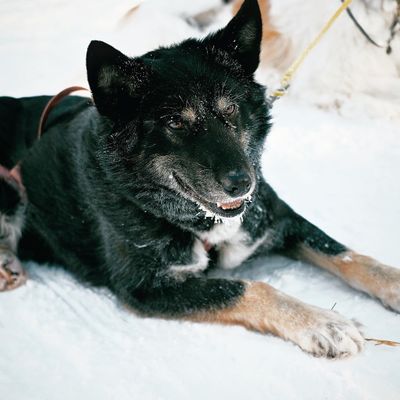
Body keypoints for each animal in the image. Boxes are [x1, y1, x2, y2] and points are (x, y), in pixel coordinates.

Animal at [0, 0, 399, 358]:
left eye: (231, 109)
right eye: (175, 122)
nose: (243, 183)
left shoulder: (279, 218)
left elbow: (346, 255)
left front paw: (392, 281)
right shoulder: (148, 288)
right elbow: (251, 288)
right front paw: (321, 322)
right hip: (11, 190)